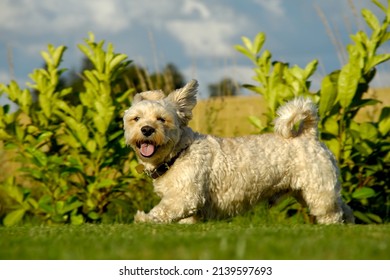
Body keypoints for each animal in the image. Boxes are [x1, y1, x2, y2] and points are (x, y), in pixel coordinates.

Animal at [123, 80, 354, 224]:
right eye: (136, 119)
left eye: (162, 119)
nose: (147, 129)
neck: (178, 153)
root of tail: (309, 134)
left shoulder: (185, 197)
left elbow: (162, 210)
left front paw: (144, 218)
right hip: (316, 190)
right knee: (345, 209)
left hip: (318, 191)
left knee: (332, 214)